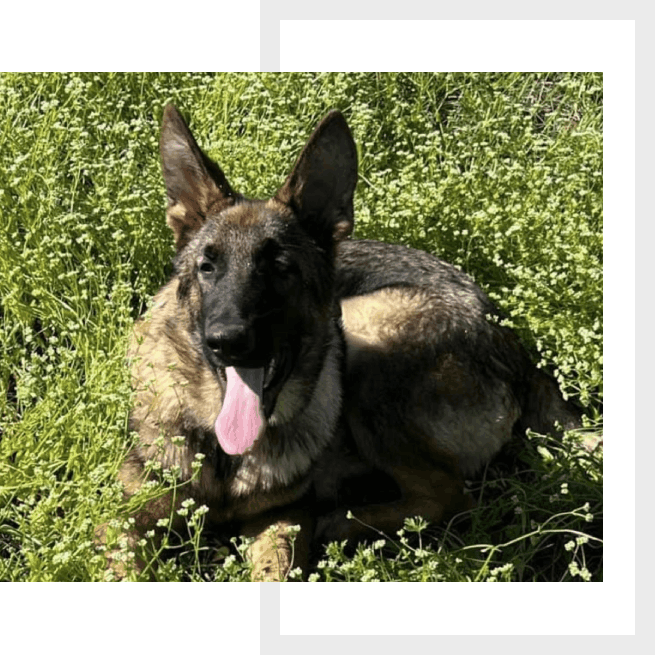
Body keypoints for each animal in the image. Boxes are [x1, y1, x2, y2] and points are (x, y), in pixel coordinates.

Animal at [96, 105, 580, 580]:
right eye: (207, 267)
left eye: (282, 268)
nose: (227, 341)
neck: (223, 452)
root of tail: (522, 358)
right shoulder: (123, 518)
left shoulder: (284, 516)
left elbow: (277, 569)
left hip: (365, 337)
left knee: (452, 496)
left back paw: (344, 521)